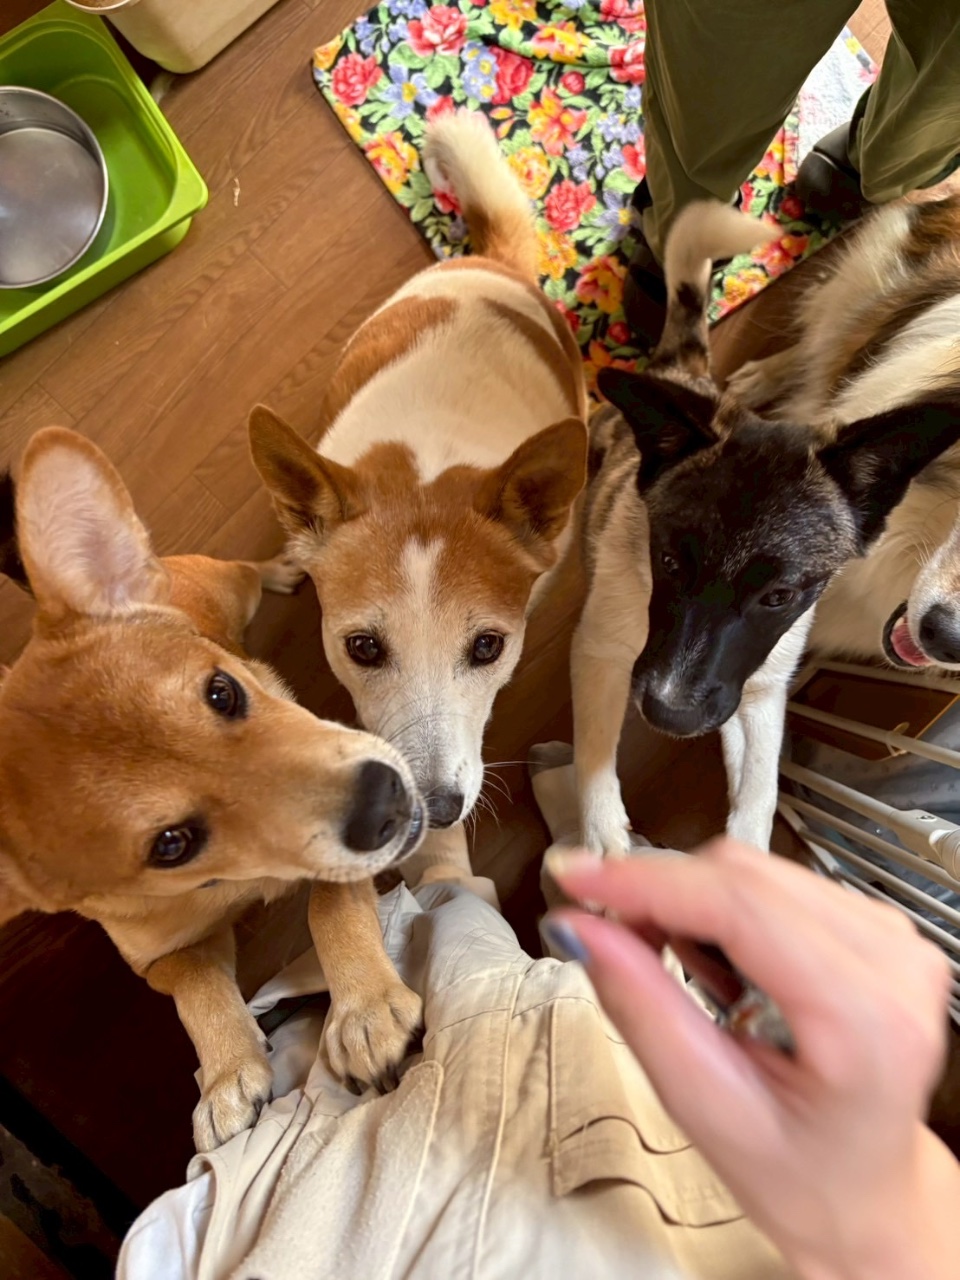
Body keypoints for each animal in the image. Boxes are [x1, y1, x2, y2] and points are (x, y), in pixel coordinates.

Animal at [0, 428, 426, 1151]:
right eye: (170, 844)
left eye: (222, 693)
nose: (385, 801)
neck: (232, 882)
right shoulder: (162, 955)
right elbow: (197, 992)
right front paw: (228, 1073)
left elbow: (327, 908)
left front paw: (364, 1012)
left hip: (229, 585)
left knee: (247, 571)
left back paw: (282, 567)